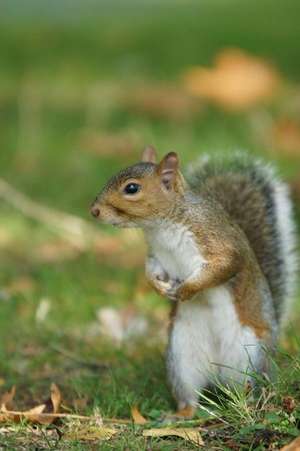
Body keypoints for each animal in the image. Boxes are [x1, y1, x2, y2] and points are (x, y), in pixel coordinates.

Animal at [90, 148, 296, 420]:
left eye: (131, 188)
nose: (94, 210)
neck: (163, 226)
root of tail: (218, 375)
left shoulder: (218, 243)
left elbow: (222, 267)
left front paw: (185, 290)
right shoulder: (156, 255)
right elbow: (151, 271)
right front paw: (160, 288)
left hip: (252, 355)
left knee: (249, 387)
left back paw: (251, 404)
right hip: (181, 358)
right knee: (190, 395)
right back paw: (182, 413)